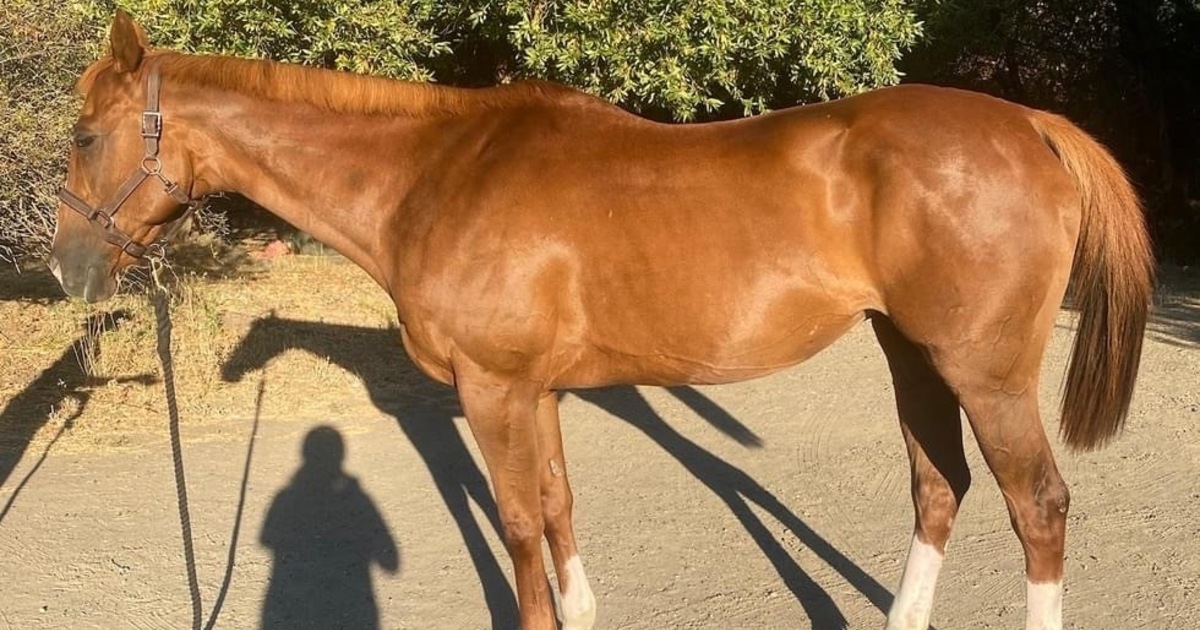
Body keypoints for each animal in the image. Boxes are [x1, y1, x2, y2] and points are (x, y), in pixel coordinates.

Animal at [49, 11, 1153, 630]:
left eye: (88, 136)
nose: (65, 268)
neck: (433, 178)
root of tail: (1030, 126)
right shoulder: (531, 390)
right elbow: (557, 507)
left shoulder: (493, 389)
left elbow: (517, 526)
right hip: (912, 353)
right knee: (940, 488)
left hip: (984, 369)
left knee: (1038, 506)